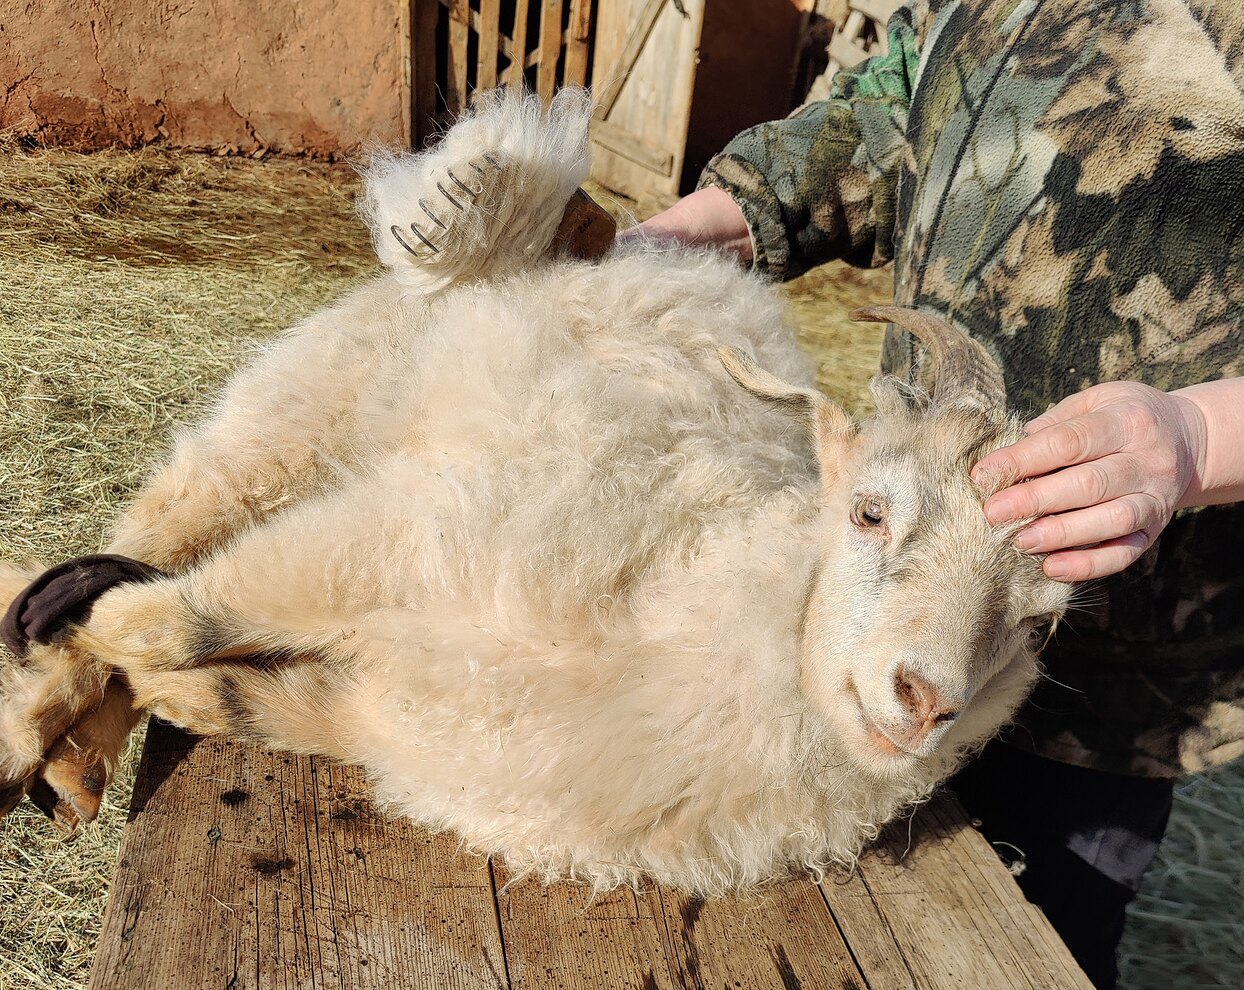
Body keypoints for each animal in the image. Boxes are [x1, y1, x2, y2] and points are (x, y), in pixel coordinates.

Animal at [0, 90, 1071, 896]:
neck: (680, 595)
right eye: (869, 510)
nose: (926, 701)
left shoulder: (390, 723)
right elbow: (170, 618)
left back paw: (80, 764)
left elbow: (222, 691)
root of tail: (576, 248)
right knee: (165, 515)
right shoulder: (399, 534)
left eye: (1042, 622)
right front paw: (96, 633)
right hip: (300, 411)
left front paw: (157, 696)